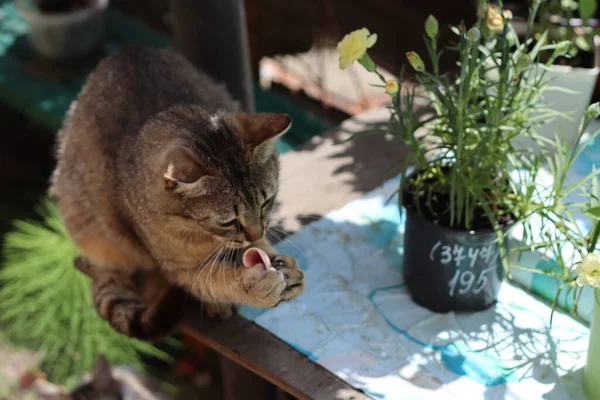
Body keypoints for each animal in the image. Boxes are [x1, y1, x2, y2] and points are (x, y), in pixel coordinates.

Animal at [49, 47, 304, 340]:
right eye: (228, 221)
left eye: (267, 202)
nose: (257, 232)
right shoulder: (183, 269)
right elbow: (218, 280)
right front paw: (254, 287)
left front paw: (282, 265)